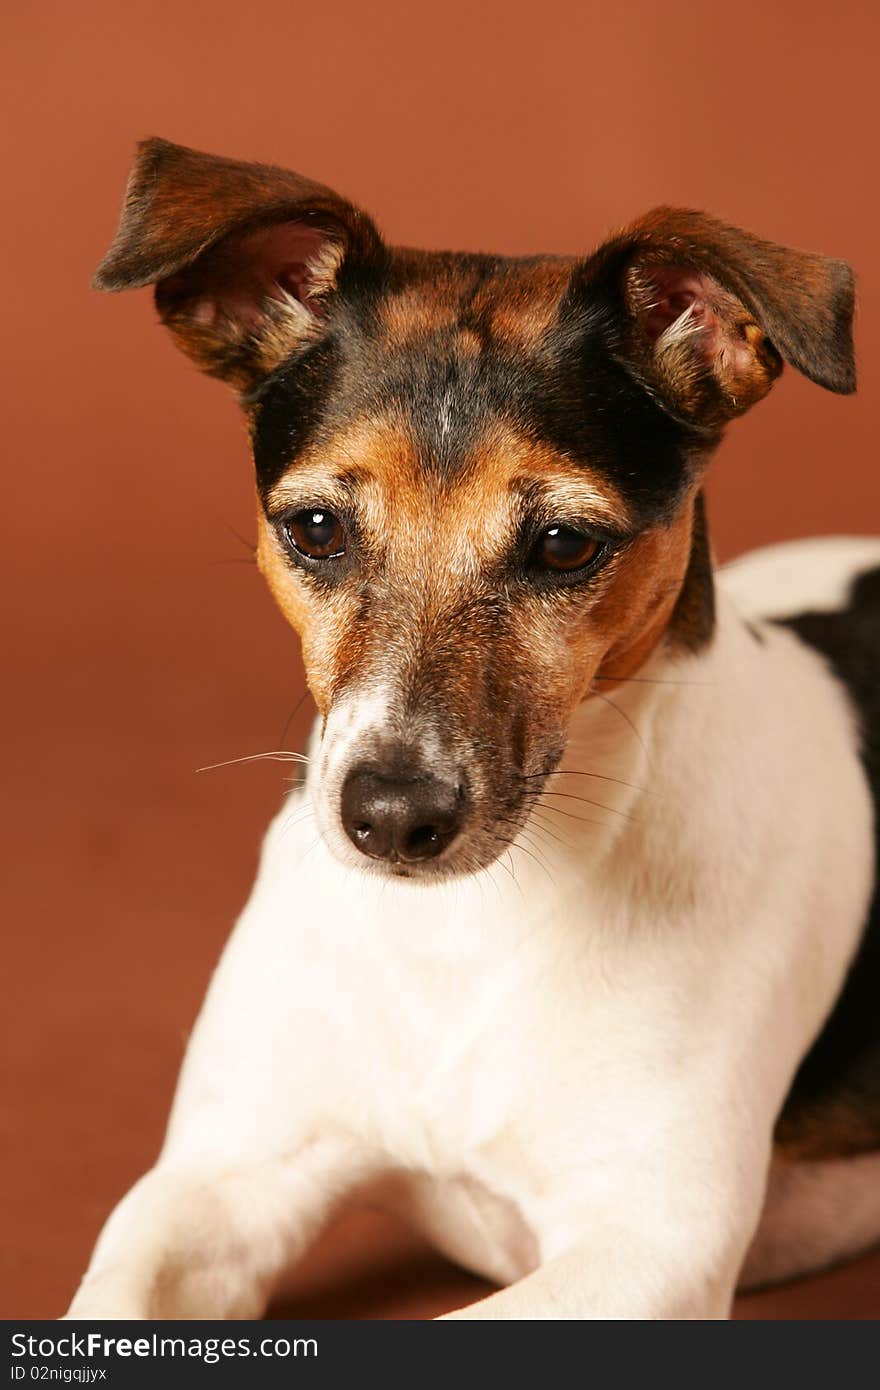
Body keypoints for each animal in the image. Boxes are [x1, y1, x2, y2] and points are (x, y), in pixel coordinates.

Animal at [68, 138, 878, 1312]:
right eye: (316, 528)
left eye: (565, 544)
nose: (391, 816)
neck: (464, 930)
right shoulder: (218, 1180)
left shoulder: (644, 1250)